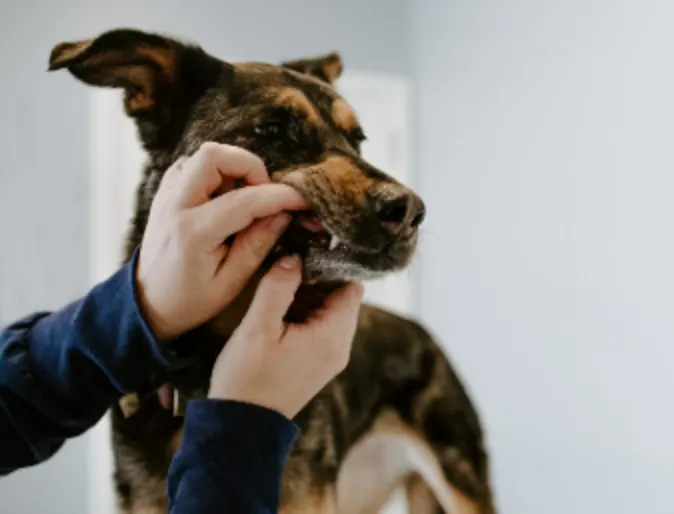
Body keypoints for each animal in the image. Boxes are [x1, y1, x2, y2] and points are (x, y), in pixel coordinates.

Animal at [48, 29, 494, 512]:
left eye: (357, 140)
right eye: (274, 129)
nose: (410, 210)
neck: (200, 378)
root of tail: (419, 331)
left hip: (460, 483)